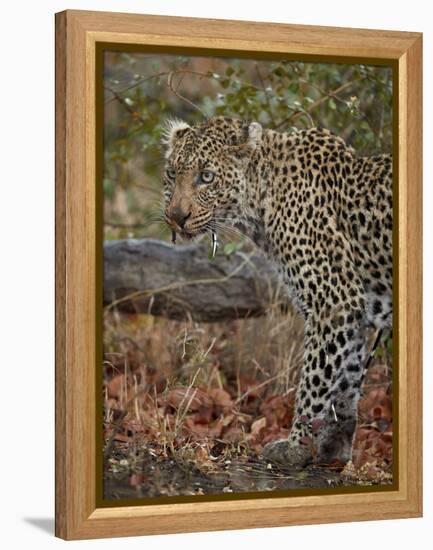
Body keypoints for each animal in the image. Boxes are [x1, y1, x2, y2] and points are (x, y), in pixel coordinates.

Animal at [162, 116, 392, 470]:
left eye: (206, 176)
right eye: (172, 173)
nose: (176, 217)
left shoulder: (334, 301)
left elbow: (316, 378)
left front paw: (295, 447)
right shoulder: (354, 309)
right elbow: (346, 379)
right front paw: (335, 448)